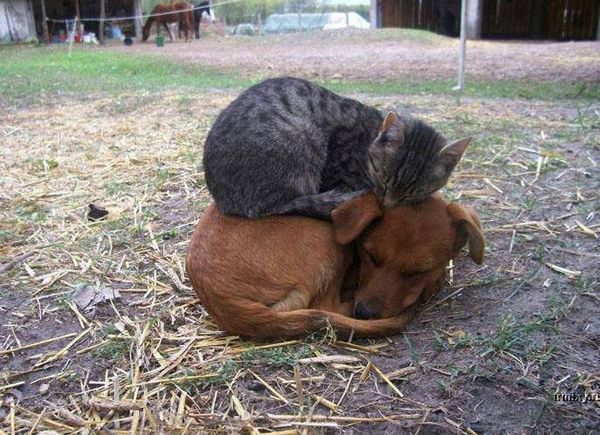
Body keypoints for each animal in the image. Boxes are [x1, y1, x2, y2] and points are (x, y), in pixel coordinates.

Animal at [185, 194, 486, 340]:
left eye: (417, 272)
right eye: (370, 256)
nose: (365, 313)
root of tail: (221, 298)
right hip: (325, 236)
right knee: (326, 306)